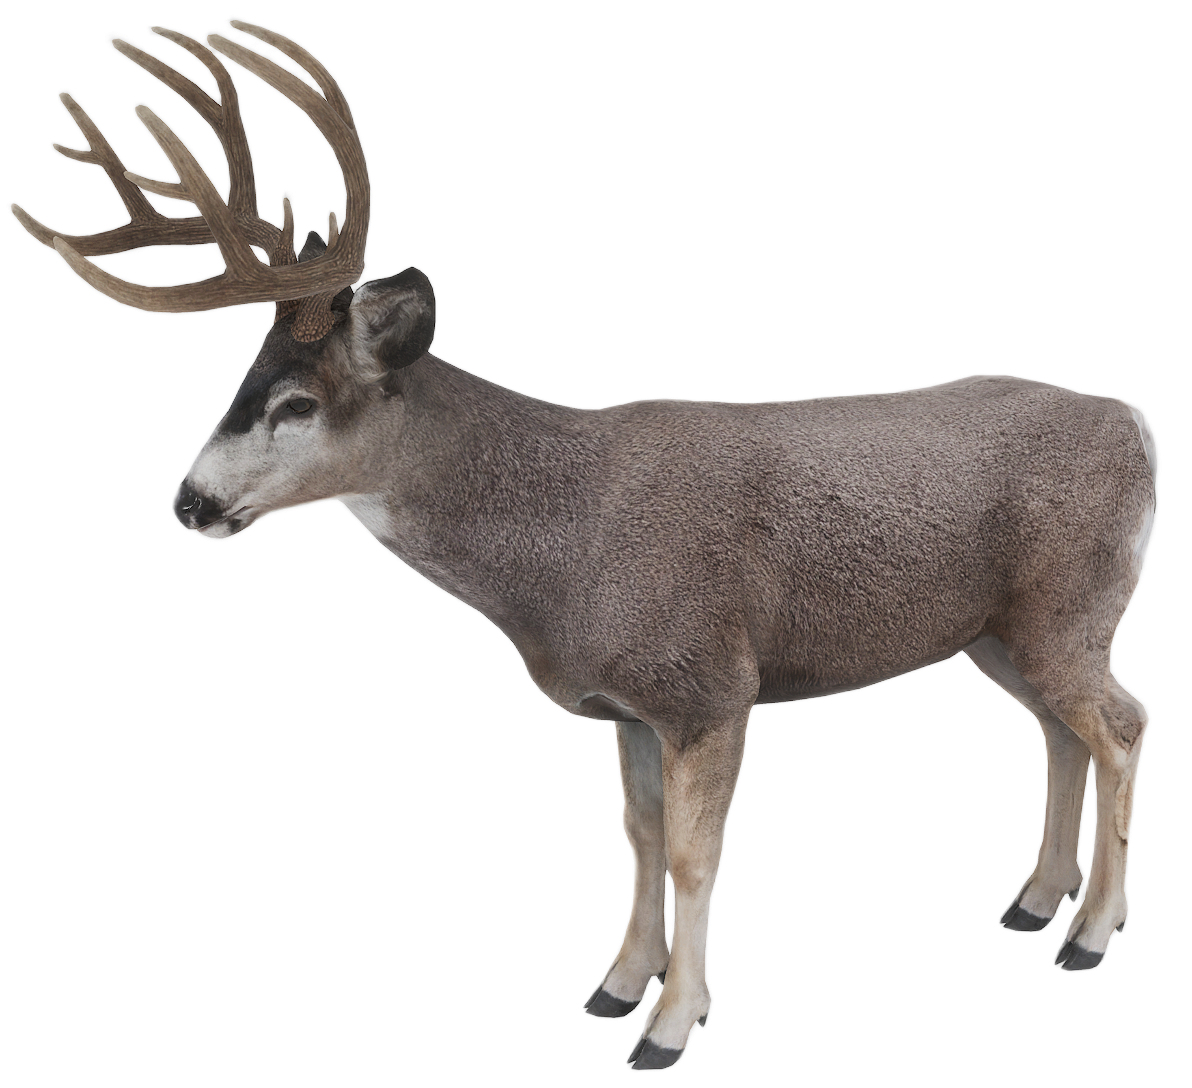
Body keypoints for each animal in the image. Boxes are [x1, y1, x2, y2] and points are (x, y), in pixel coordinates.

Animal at [9, 15, 1161, 1072]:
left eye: (296, 403)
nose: (189, 502)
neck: (563, 555)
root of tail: (1137, 422)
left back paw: (1090, 934)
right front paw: (613, 987)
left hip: (1071, 605)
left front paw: (671, 1025)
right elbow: (637, 837)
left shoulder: (711, 683)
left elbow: (696, 856)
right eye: (240, 383)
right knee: (1061, 730)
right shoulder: (628, 704)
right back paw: (1034, 902)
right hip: (1001, 630)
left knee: (1124, 721)